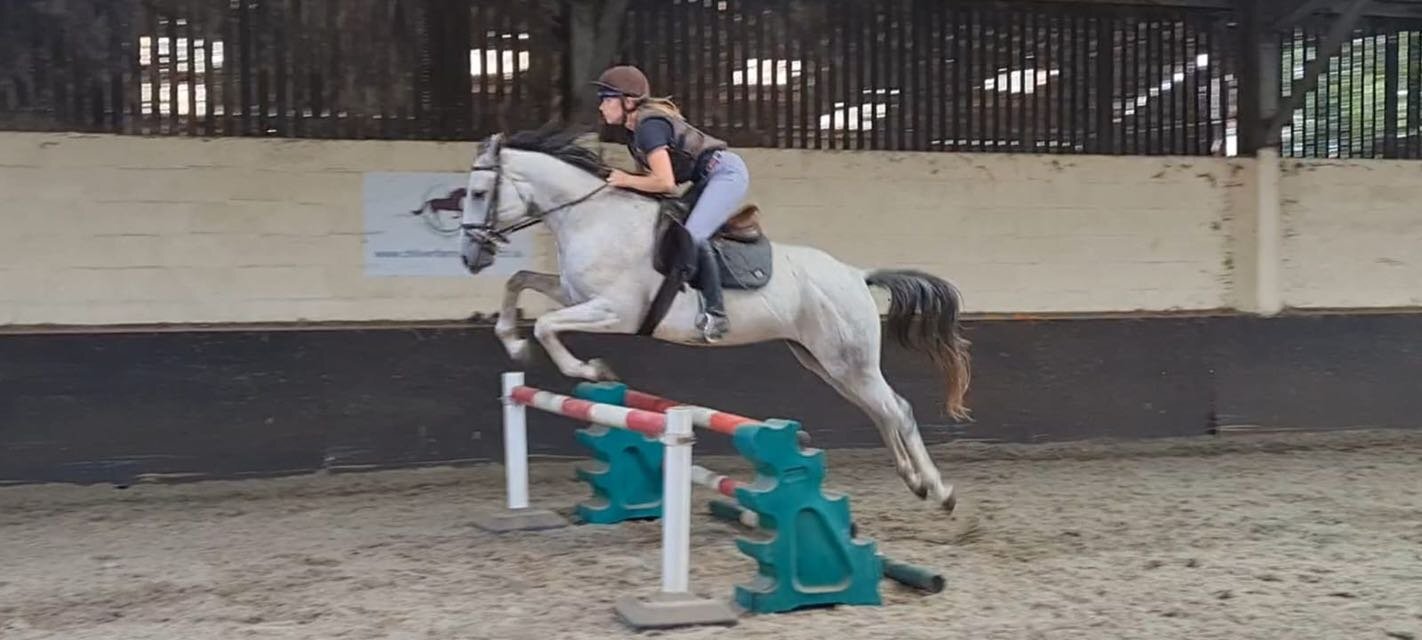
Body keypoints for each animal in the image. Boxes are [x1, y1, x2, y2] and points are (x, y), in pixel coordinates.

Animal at [453, 126, 972, 513]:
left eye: (477, 193)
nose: (470, 257)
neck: (594, 218)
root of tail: (856, 274)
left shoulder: (615, 311)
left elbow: (547, 326)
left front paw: (590, 369)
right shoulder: (575, 294)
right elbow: (519, 281)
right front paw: (512, 340)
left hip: (849, 360)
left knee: (897, 409)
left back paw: (941, 491)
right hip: (825, 362)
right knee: (881, 409)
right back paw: (914, 482)